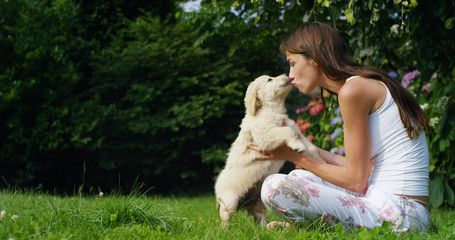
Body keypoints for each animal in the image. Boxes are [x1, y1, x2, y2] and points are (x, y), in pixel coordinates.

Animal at [214, 74, 324, 227]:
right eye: (270, 80)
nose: (287, 75)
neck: (273, 110)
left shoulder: (298, 133)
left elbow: (313, 148)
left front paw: (322, 162)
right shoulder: (264, 134)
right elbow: (286, 131)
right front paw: (298, 147)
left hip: (258, 204)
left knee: (260, 220)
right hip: (229, 200)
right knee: (225, 218)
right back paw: (225, 230)